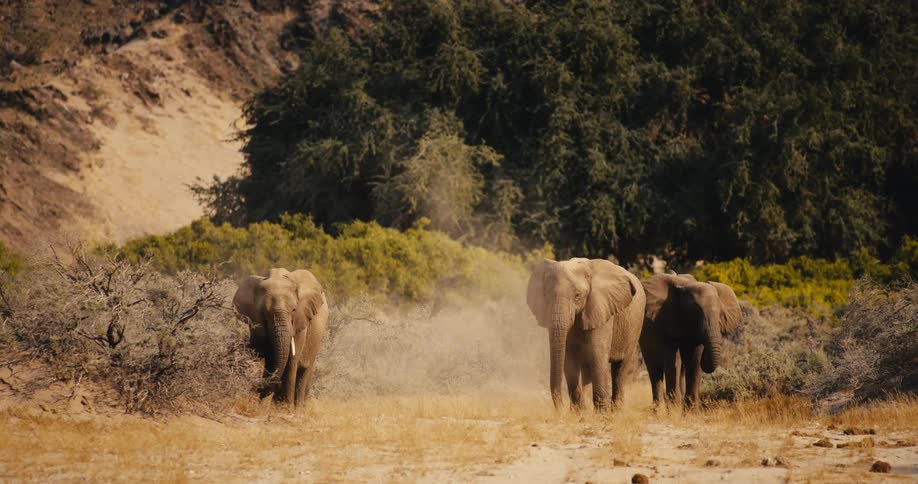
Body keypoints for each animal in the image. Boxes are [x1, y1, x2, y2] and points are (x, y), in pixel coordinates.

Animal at [233, 268, 328, 406]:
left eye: (294, 310)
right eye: (264, 312)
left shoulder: (300, 321)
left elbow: (291, 361)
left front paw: (285, 408)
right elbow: (271, 358)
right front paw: (263, 405)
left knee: (304, 372)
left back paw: (298, 408)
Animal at [526, 258, 646, 411]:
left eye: (578, 295)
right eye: (545, 295)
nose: (561, 411)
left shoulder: (602, 310)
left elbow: (597, 355)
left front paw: (601, 414)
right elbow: (569, 359)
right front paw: (579, 413)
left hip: (635, 325)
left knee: (620, 367)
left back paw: (616, 413)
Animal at [639, 273, 741, 409]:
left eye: (720, 313)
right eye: (696, 311)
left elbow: (694, 361)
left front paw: (690, 410)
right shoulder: (667, 320)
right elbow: (673, 361)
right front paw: (674, 410)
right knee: (655, 371)